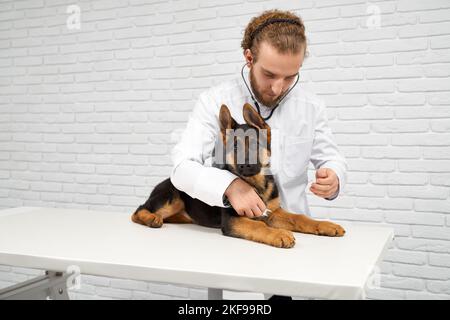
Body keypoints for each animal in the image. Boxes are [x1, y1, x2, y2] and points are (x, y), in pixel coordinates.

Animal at [132, 104, 346, 249]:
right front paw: (279, 235)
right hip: (172, 198)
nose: (246, 165)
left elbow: (299, 218)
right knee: (138, 210)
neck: (256, 184)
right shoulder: (233, 220)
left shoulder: (273, 212)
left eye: (255, 144)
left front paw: (325, 225)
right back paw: (151, 218)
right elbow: (258, 226)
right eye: (235, 147)